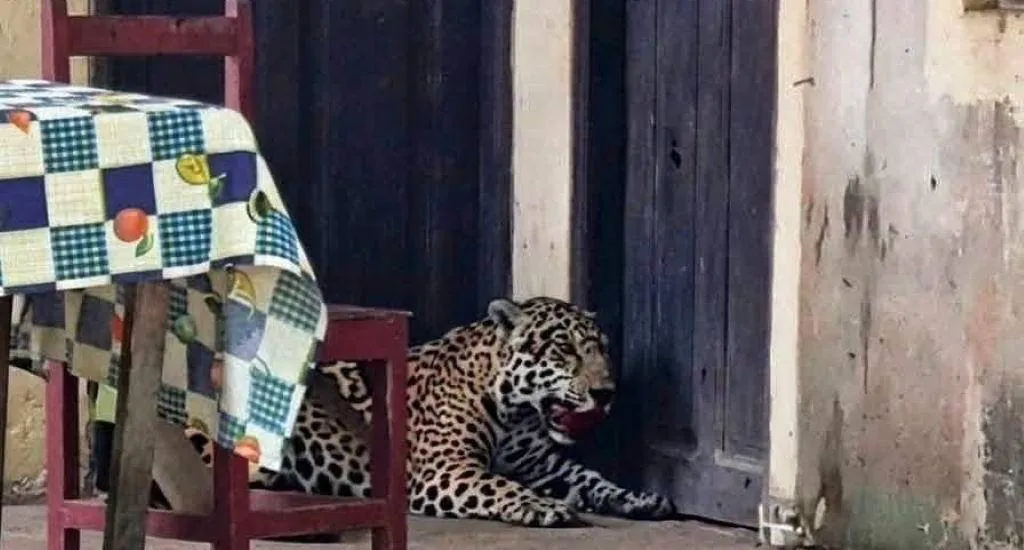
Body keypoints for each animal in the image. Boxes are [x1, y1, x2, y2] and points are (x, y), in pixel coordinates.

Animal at [183, 296, 676, 527]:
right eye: (564, 349)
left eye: (602, 350)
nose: (607, 392)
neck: (517, 415)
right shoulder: (446, 469)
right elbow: (500, 484)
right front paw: (542, 506)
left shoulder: (544, 466)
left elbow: (592, 479)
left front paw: (639, 498)